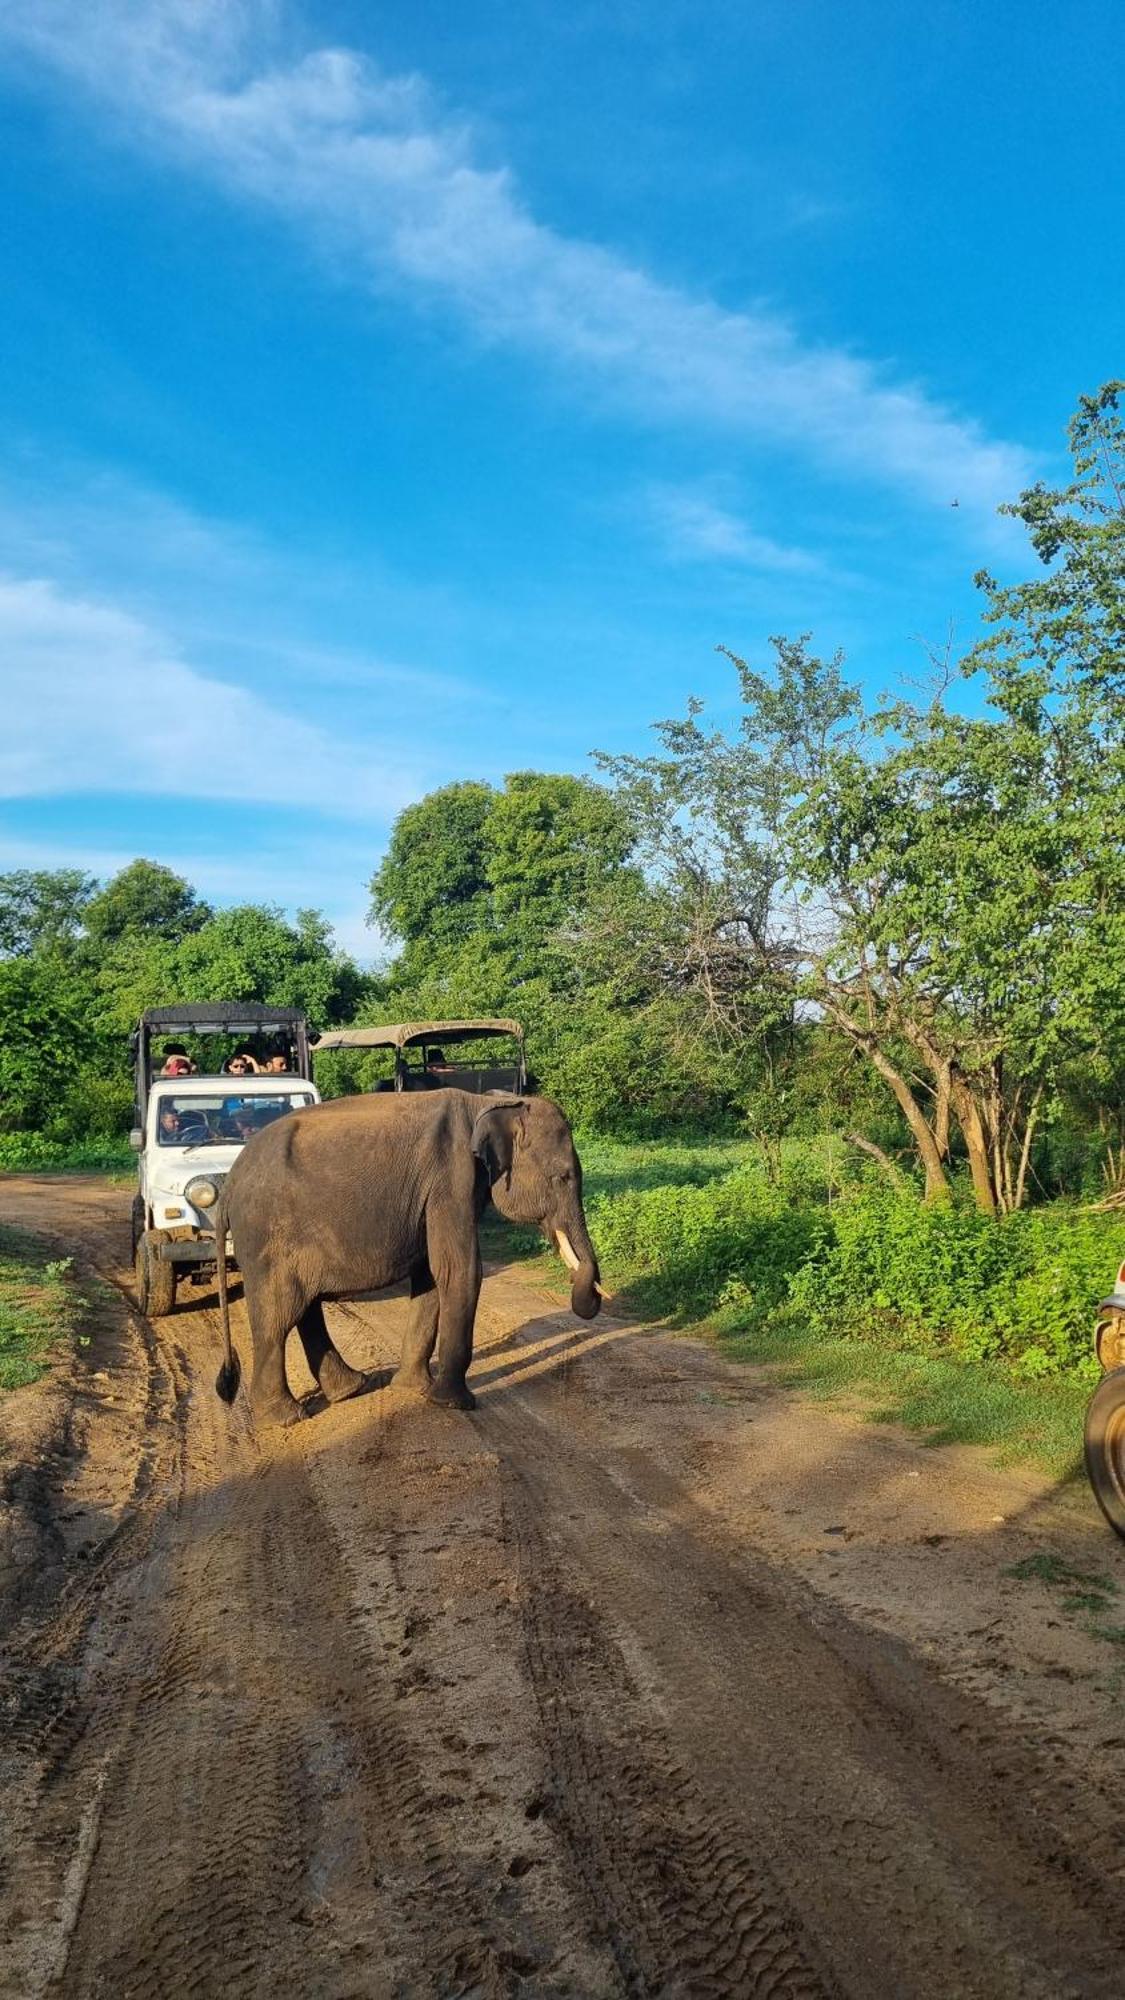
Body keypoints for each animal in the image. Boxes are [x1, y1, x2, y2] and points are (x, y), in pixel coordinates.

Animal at [217, 1088, 604, 1432]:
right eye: (563, 1176)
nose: (582, 1283)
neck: (490, 1102)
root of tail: (229, 1182)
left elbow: (432, 1276)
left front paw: (414, 1389)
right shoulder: (451, 1180)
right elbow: (458, 1270)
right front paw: (455, 1404)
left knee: (303, 1309)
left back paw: (351, 1389)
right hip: (267, 1236)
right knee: (279, 1315)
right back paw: (285, 1419)